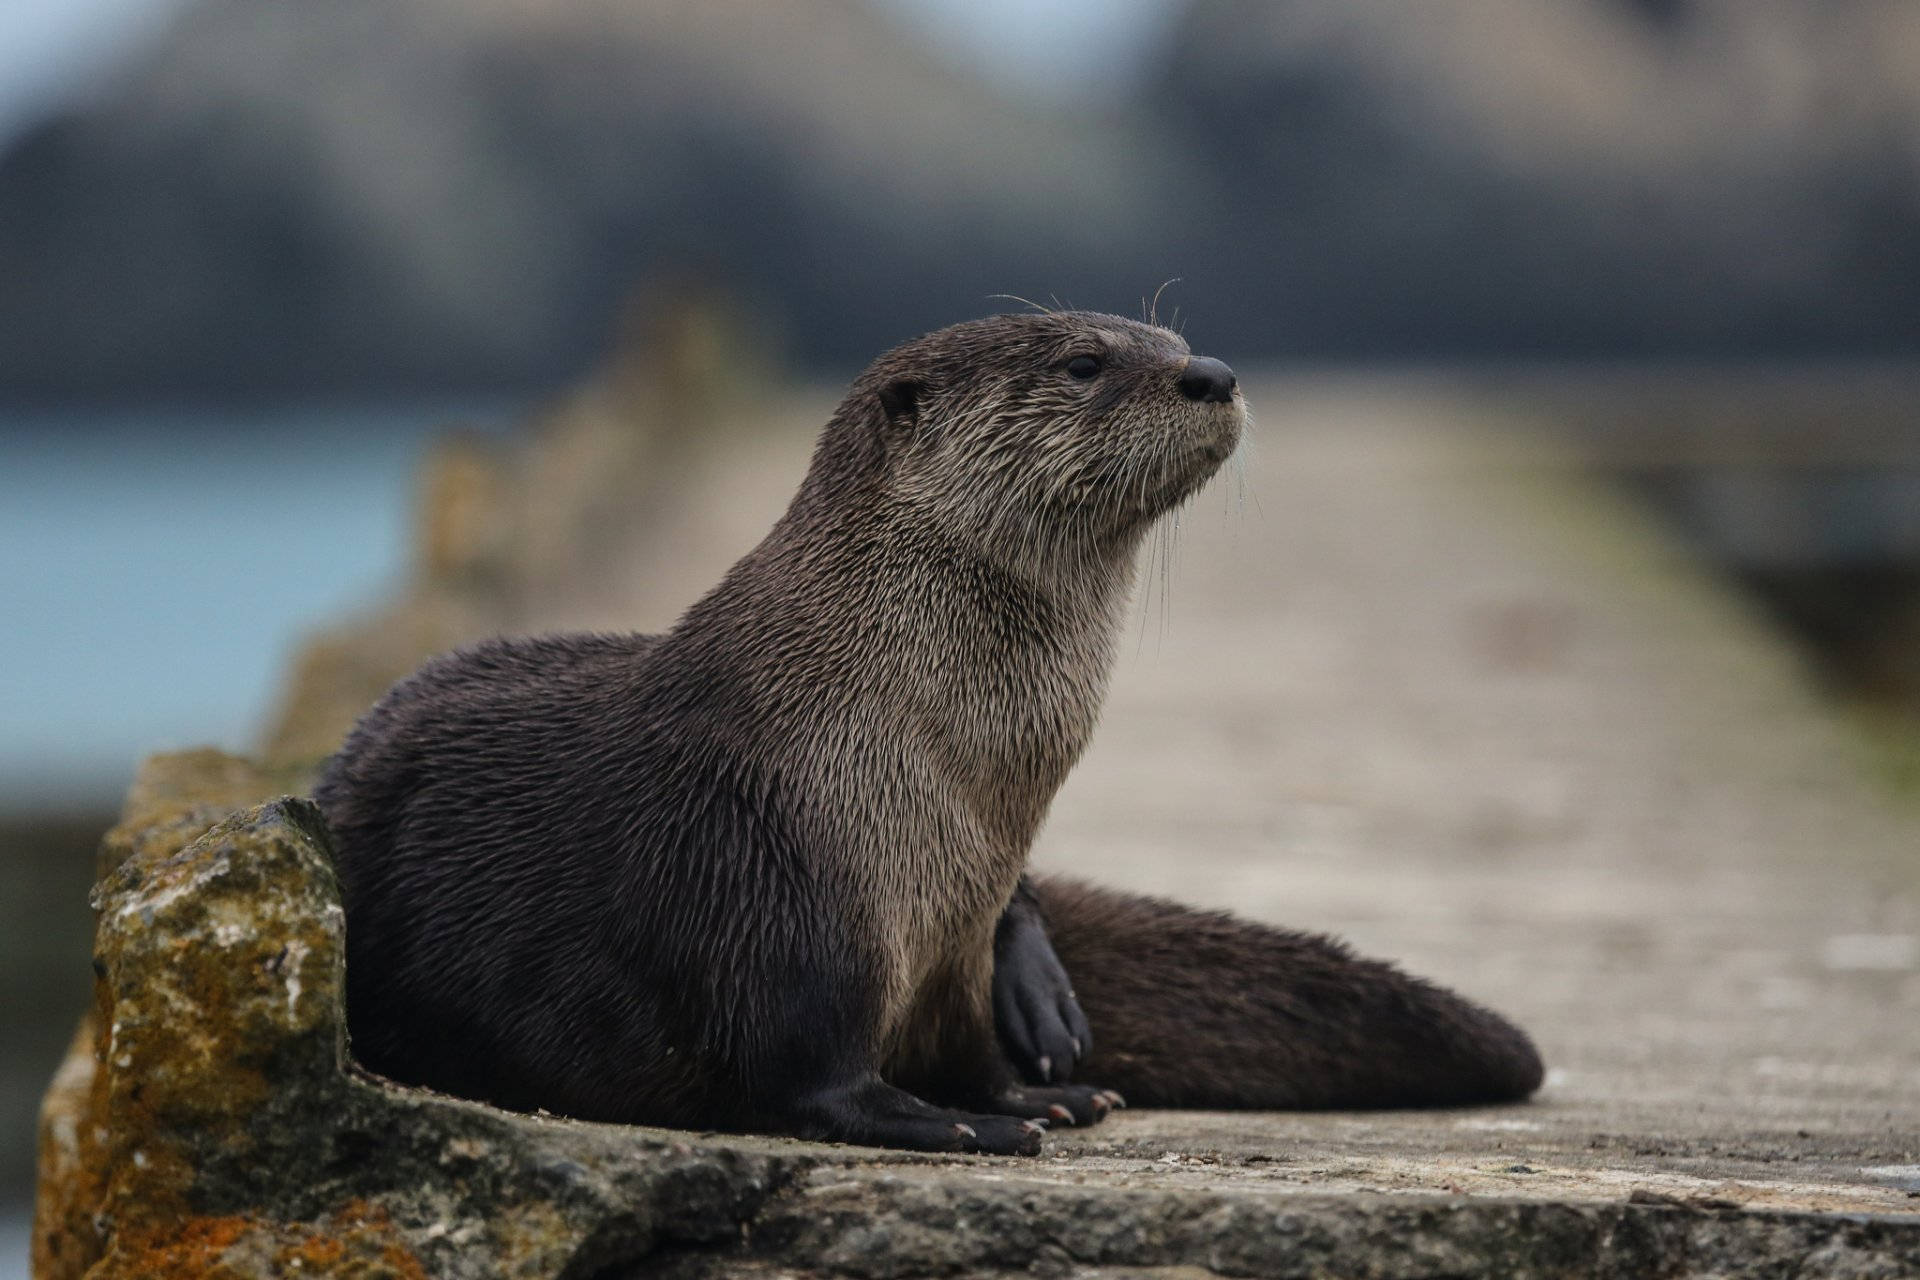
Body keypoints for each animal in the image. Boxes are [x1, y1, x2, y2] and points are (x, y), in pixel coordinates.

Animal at [315, 311, 1541, 1155]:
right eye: (1084, 362)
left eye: (1171, 338)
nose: (1214, 372)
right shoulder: (770, 879)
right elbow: (806, 1076)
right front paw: (955, 1124)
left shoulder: (954, 931)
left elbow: (969, 1045)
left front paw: (1035, 1089)